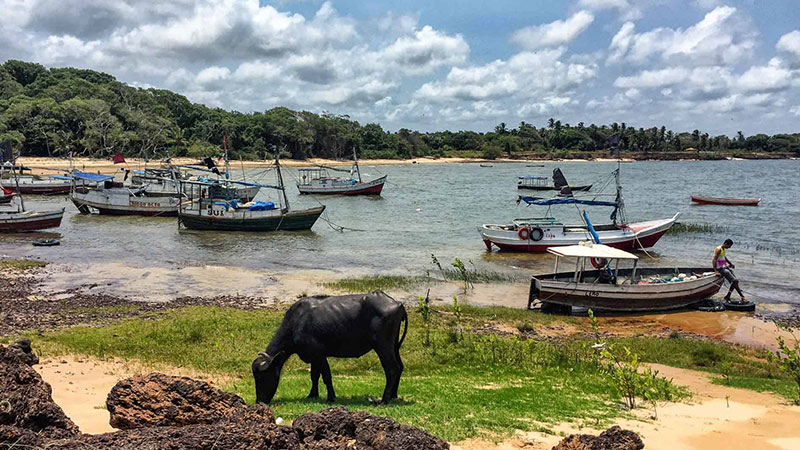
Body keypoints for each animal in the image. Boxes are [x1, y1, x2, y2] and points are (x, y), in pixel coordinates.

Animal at [253, 290, 410, 406]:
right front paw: (312, 394)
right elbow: (314, 376)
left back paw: (384, 400)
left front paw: (331, 397)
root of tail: (398, 304)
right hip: (394, 347)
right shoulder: (313, 357)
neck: (297, 322)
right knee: (400, 367)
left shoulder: (319, 354)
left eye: (261, 377)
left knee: (392, 369)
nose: (259, 401)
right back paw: (394, 395)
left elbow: (326, 376)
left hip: (383, 347)